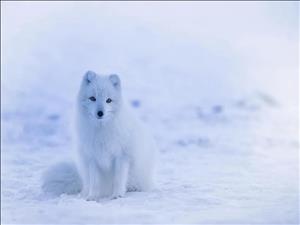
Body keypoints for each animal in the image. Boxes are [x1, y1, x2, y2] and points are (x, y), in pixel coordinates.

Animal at [43, 71, 158, 200]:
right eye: (93, 98)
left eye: (108, 100)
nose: (100, 113)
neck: (101, 130)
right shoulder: (92, 158)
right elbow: (95, 182)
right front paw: (92, 197)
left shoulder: (122, 156)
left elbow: (118, 179)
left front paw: (117, 195)